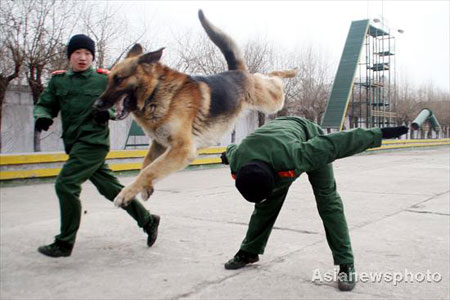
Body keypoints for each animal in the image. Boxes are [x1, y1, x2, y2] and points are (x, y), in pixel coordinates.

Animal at [93, 9, 298, 206]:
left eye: (119, 79)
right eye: (109, 79)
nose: (97, 105)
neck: (155, 91)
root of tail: (236, 71)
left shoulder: (182, 149)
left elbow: (149, 170)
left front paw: (125, 194)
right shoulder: (159, 144)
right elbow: (146, 165)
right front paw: (144, 189)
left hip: (271, 101)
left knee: (272, 77)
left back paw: (290, 71)